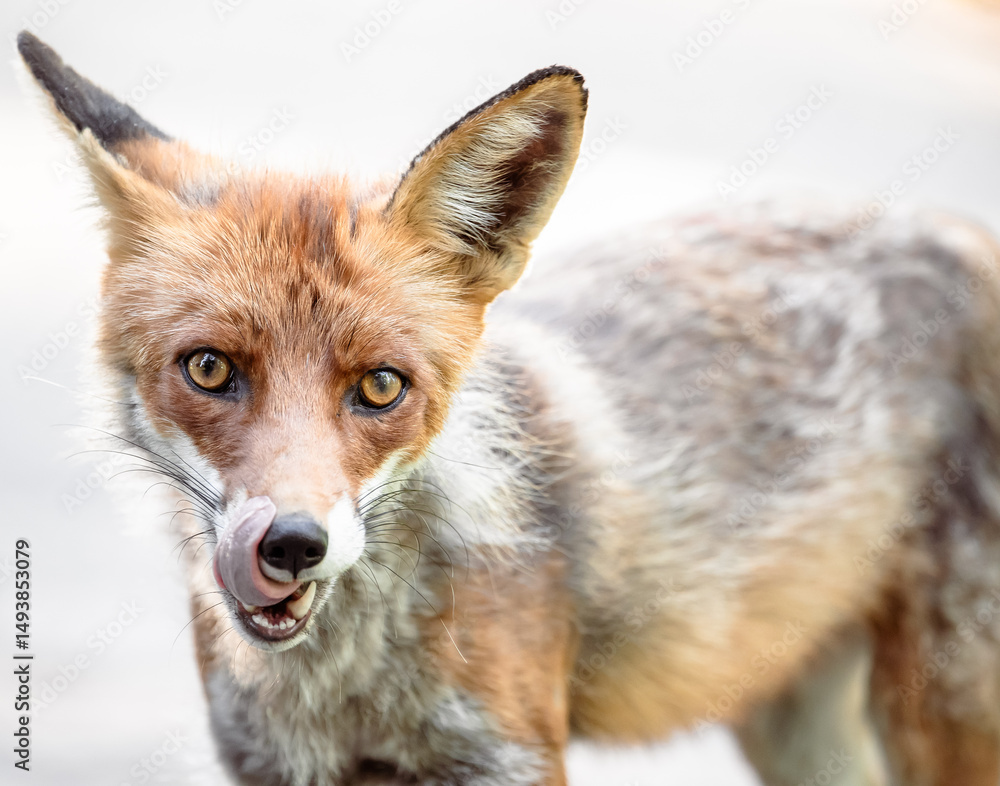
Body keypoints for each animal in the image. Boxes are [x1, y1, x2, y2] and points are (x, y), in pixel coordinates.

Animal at [17, 30, 1000, 786]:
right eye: (210, 369)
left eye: (381, 386)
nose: (292, 544)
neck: (348, 690)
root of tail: (960, 230)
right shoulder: (273, 766)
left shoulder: (510, 755)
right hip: (797, 721)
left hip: (939, 716)